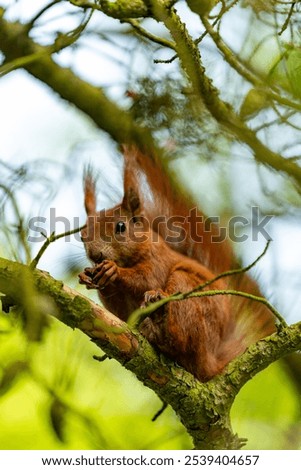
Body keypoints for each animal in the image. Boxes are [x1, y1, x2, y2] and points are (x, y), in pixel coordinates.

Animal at [78, 147, 276, 382]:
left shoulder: (159, 261)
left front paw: (113, 271)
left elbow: (147, 279)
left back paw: (160, 324)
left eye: (120, 227)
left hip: (189, 296)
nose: (95, 255)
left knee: (180, 339)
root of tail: (209, 363)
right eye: (81, 235)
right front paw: (87, 276)